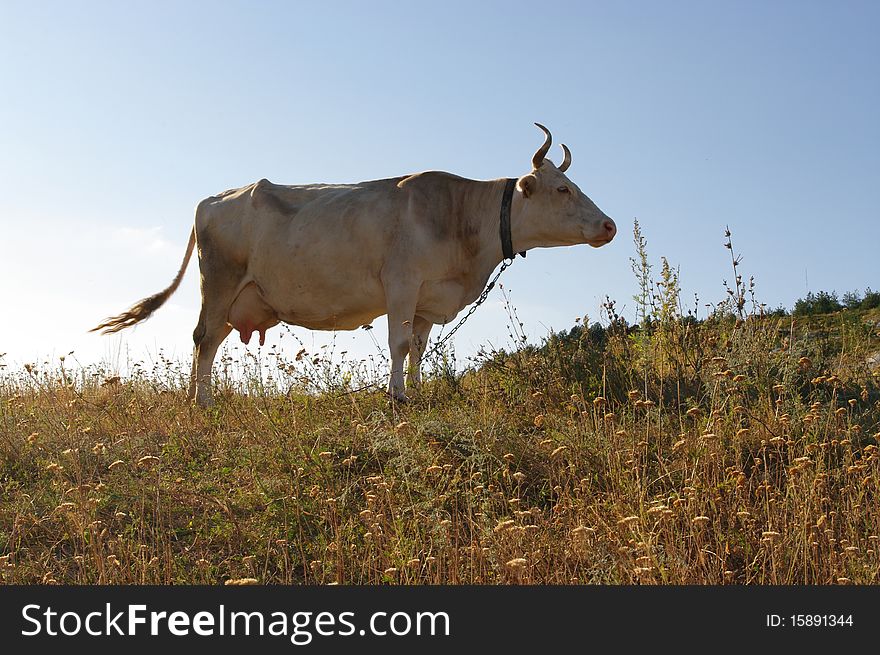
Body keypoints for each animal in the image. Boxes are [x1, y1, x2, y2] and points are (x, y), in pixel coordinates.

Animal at [93, 124, 616, 404]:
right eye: (562, 189)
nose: (609, 225)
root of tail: (216, 198)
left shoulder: (426, 300)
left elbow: (420, 348)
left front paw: (417, 394)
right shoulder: (402, 283)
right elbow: (399, 344)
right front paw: (397, 397)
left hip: (236, 294)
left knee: (210, 340)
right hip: (218, 281)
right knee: (202, 340)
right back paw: (201, 402)